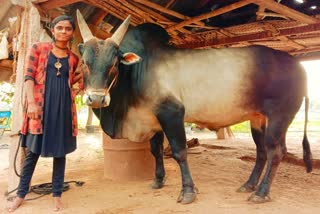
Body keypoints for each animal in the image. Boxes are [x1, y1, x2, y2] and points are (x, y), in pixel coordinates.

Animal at [76, 10, 312, 204]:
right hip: (257, 119)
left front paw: (188, 191)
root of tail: (298, 66)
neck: (138, 71)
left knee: (276, 152)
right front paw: (158, 181)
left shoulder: (172, 113)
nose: (95, 99)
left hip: (279, 117)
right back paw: (248, 185)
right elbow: (155, 150)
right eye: (84, 62)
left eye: (114, 64)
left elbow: (180, 152)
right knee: (262, 152)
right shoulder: (153, 118)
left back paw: (261, 193)